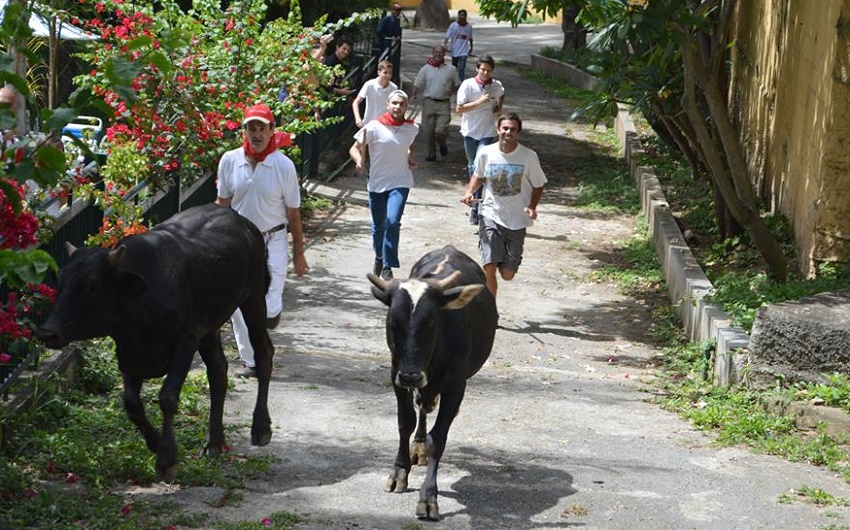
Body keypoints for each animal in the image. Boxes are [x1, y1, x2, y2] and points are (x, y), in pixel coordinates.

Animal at [366, 244, 496, 520]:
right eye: (393, 322)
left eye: (432, 321)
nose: (411, 375)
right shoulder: (396, 375)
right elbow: (405, 422)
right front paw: (399, 472)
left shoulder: (456, 385)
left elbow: (438, 438)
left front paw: (428, 497)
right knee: (422, 407)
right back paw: (417, 445)